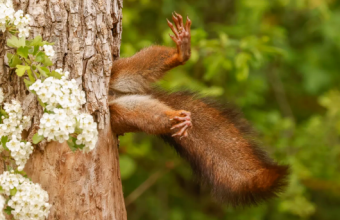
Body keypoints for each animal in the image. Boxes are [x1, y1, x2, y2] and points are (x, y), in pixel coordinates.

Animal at [109, 12, 290, 207]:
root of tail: (114, 95)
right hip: (119, 113)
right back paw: (176, 118)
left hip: (118, 72)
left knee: (138, 67)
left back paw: (181, 54)